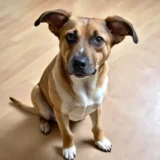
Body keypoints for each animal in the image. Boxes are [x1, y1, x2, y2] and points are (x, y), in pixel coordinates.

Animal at [9, 9, 138, 160]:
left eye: (98, 39)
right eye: (70, 36)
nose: (79, 62)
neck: (84, 84)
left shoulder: (98, 107)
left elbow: (97, 127)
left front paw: (101, 141)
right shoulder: (60, 113)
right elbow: (67, 133)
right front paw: (68, 148)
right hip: (36, 92)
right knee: (41, 114)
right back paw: (44, 124)